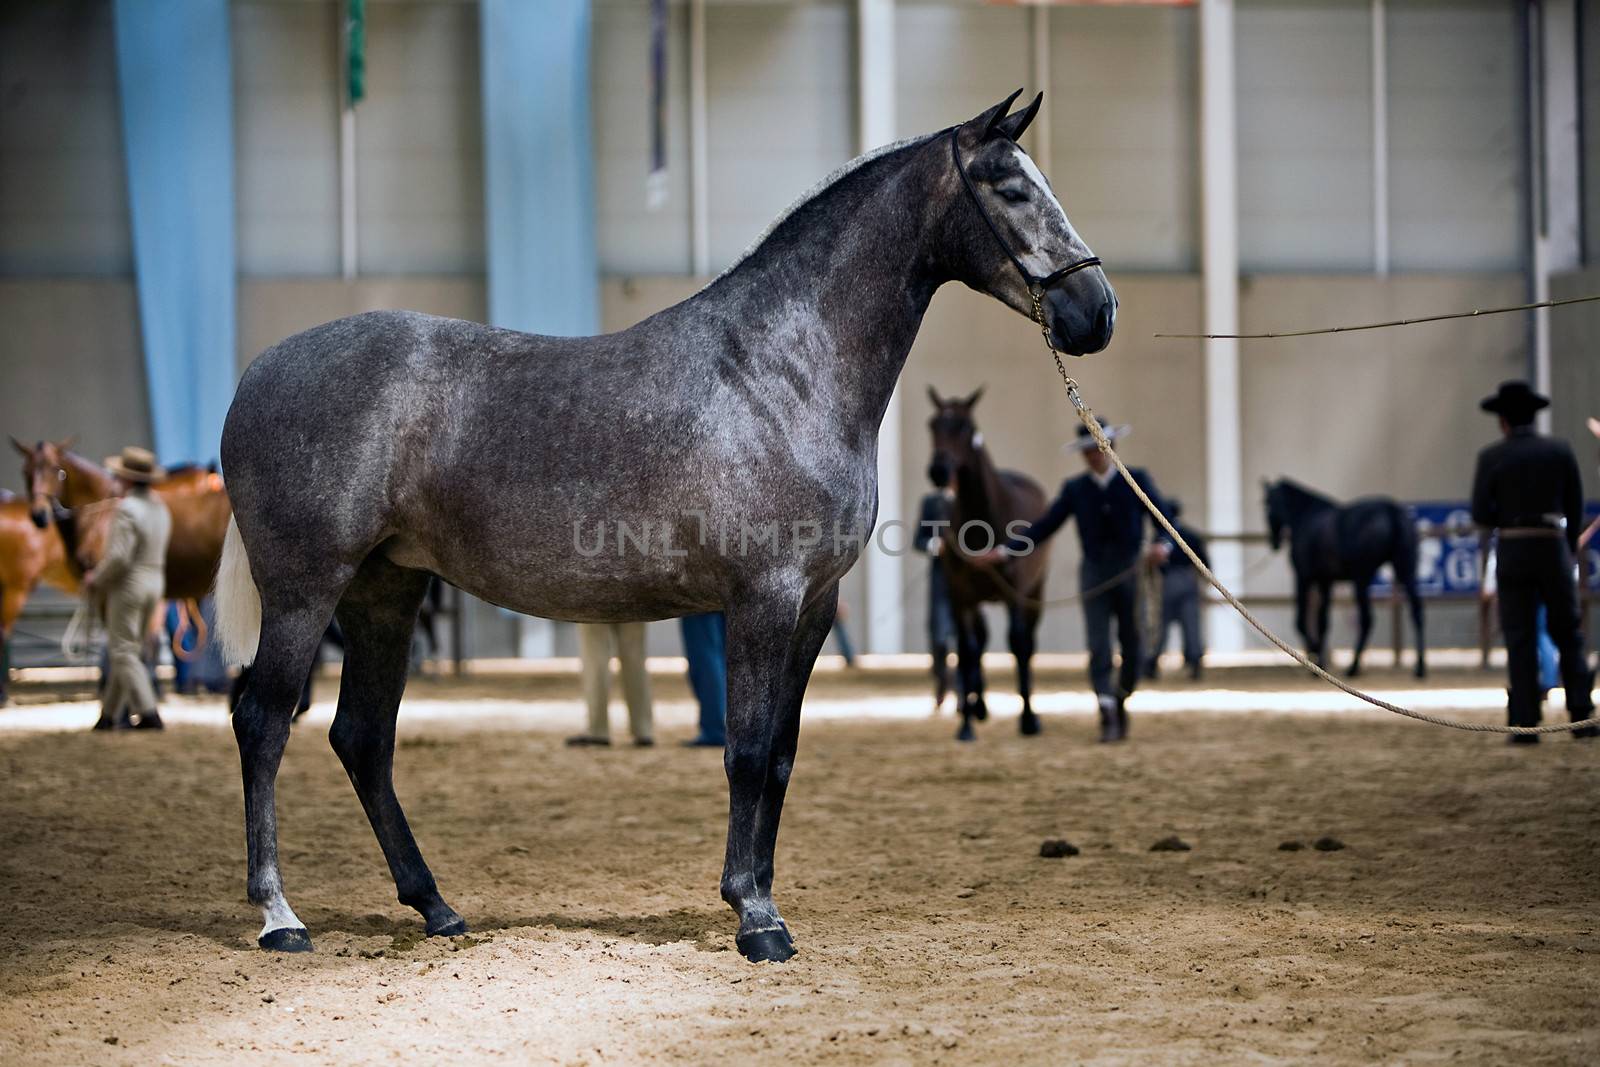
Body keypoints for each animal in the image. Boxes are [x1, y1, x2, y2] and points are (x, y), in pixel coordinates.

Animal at [928, 385, 1049, 742]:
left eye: (966, 427)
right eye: (932, 425)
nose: (938, 472)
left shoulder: (1013, 594)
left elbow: (1018, 645)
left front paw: (1028, 719)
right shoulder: (960, 596)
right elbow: (967, 649)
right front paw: (966, 725)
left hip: (1036, 591)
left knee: (1029, 642)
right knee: (979, 642)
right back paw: (978, 707)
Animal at [1267, 479, 1433, 681]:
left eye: (1266, 503)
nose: (1274, 543)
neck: (1306, 517)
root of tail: (1391, 509)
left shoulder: (1304, 578)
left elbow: (1300, 621)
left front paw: (1315, 657)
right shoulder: (1326, 581)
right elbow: (1323, 622)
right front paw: (1319, 662)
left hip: (1362, 578)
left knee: (1367, 619)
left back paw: (1353, 667)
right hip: (1405, 570)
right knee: (1416, 611)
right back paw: (1420, 667)